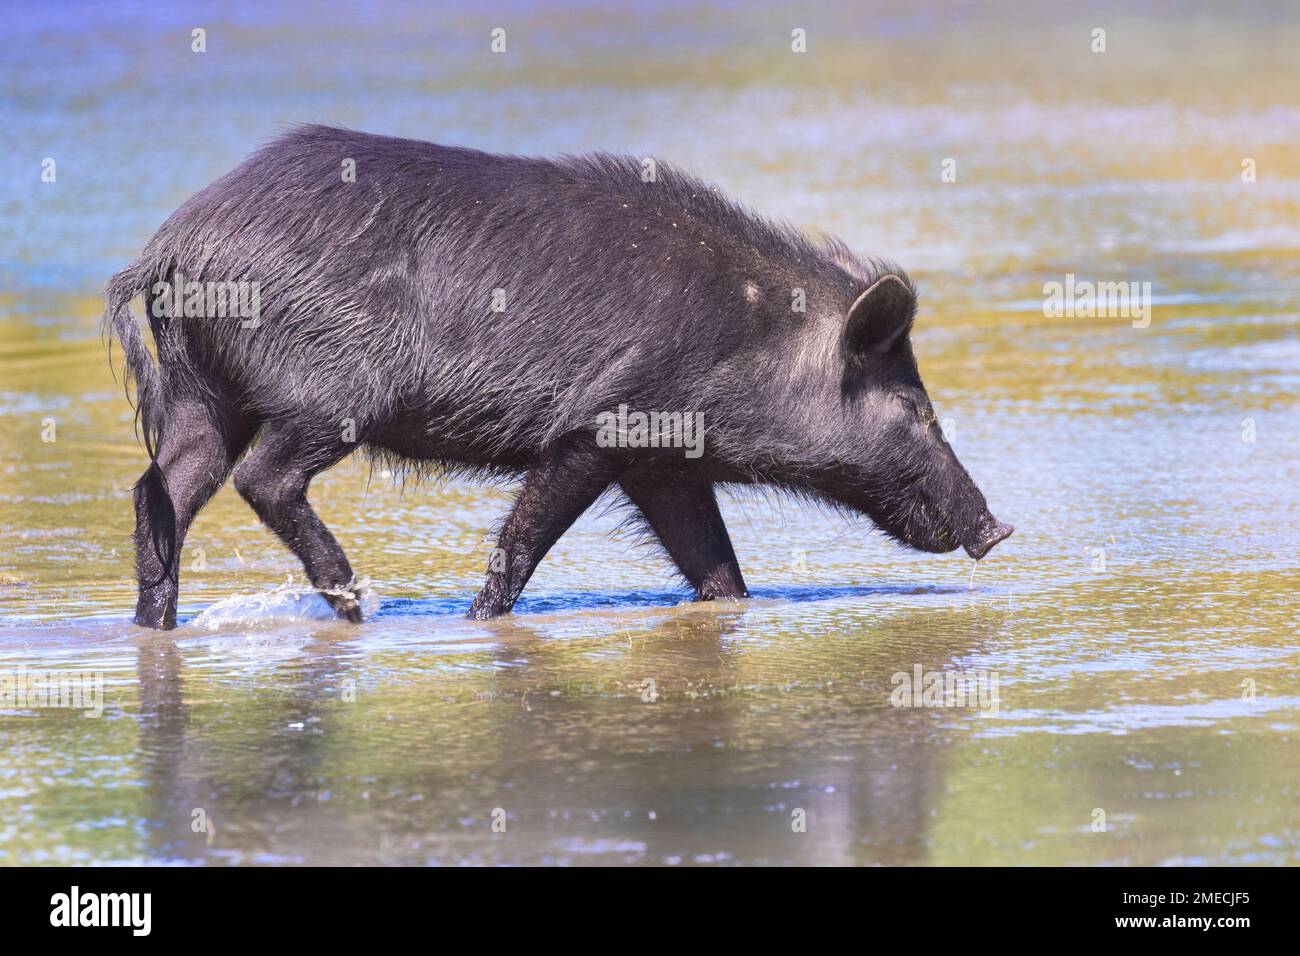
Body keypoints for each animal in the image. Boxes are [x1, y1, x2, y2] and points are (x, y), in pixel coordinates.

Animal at [104, 125, 1012, 629]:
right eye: (915, 406)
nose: (998, 529)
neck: (751, 335)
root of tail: (170, 246)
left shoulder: (662, 461)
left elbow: (716, 567)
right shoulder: (604, 424)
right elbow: (523, 539)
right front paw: (479, 621)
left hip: (204, 395)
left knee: (161, 490)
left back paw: (158, 625)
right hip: (328, 391)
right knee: (260, 477)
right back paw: (359, 604)